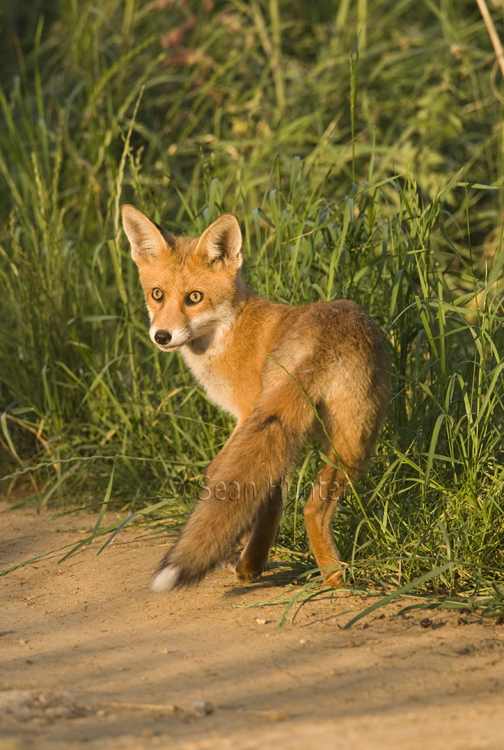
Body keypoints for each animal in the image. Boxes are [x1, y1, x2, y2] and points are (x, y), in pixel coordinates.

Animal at [122, 206, 390, 592]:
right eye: (157, 294)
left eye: (194, 297)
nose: (162, 336)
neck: (229, 332)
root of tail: (322, 343)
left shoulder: (244, 412)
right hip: (348, 441)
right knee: (310, 507)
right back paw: (330, 576)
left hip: (335, 436)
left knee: (261, 492)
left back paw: (262, 568)